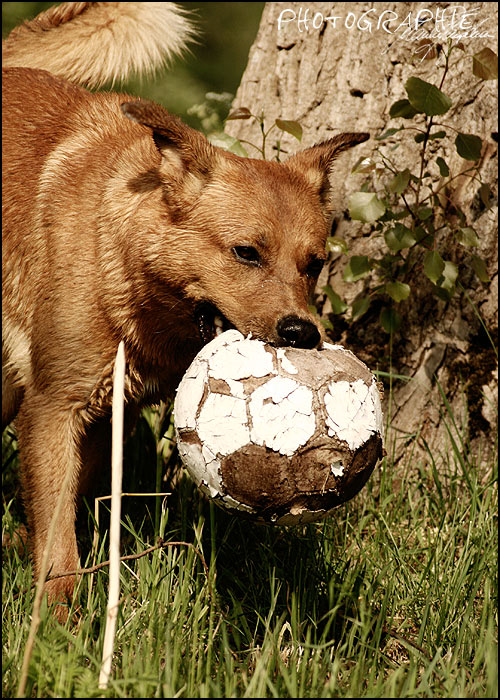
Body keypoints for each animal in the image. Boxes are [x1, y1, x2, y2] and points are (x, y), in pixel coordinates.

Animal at [1, 2, 370, 620]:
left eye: (314, 264)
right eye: (246, 252)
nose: (301, 333)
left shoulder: (105, 415)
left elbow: (65, 512)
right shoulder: (53, 407)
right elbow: (57, 545)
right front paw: (57, 625)